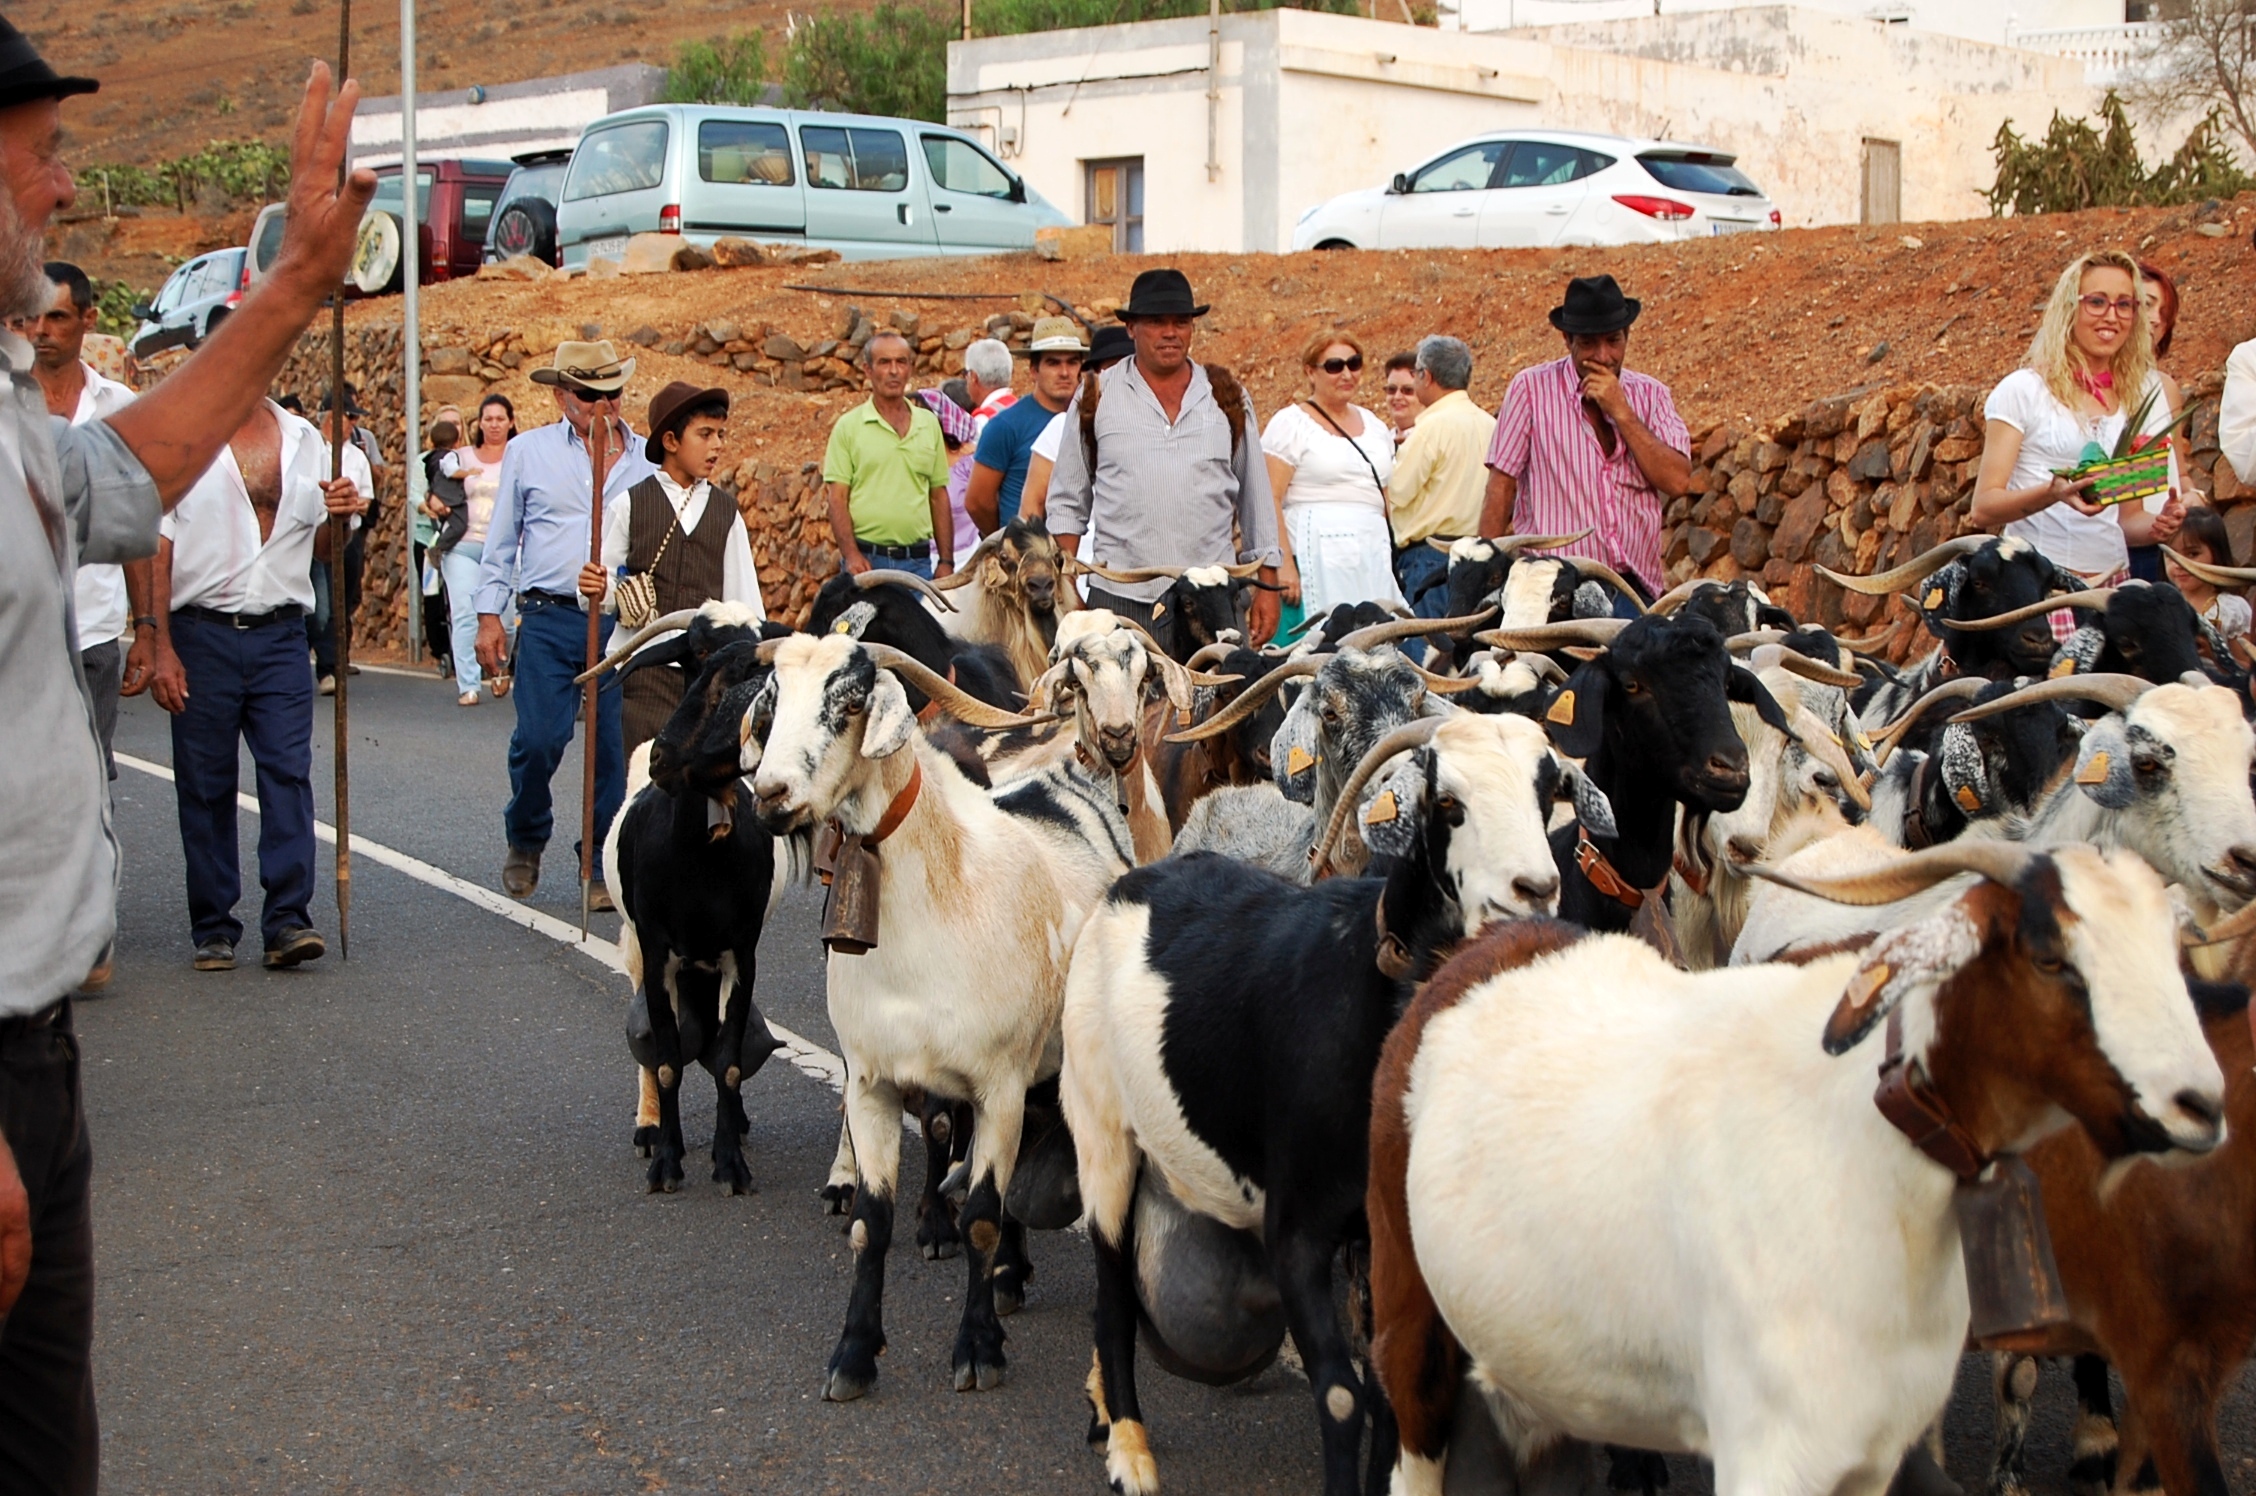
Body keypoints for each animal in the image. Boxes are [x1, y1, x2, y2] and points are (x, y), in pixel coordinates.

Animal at [744, 634, 1109, 1401]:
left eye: (850, 699)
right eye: (774, 696)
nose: (770, 795)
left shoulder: (999, 1084)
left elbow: (980, 1219)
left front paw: (978, 1350)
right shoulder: (873, 1083)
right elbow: (870, 1224)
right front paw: (853, 1355)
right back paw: (1009, 1280)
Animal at [1065, 714, 1615, 1496]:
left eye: (1548, 793)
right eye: (1447, 802)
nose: (1534, 890)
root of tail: (1134, 882)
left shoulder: (1383, 1240)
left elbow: (1388, 1396)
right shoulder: (1296, 1229)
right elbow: (1340, 1395)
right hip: (1101, 1128)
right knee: (1111, 1293)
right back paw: (1129, 1451)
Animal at [1366, 841, 2226, 1496]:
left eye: (2171, 950)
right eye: (2051, 958)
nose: (2201, 1104)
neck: (1862, 1134)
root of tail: (1466, 960)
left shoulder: (1868, 1455)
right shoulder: (1772, 1449)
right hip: (1408, 1315)